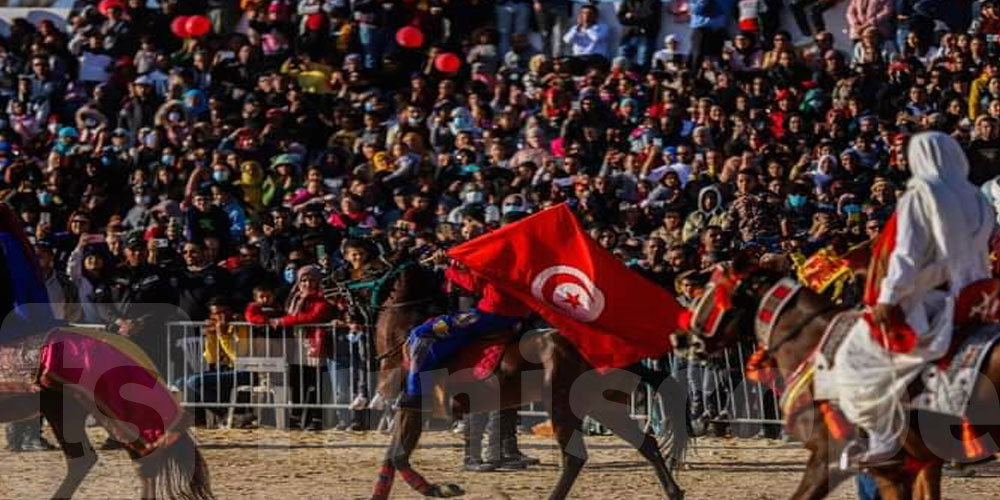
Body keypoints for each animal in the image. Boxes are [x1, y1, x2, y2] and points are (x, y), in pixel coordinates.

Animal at [366, 260, 688, 498]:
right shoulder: (406, 410)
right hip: (604, 406)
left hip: (563, 406)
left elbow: (398, 457)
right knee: (646, 444)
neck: (405, 335)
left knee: (575, 458)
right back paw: (674, 491)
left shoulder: (414, 406)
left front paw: (442, 489)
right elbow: (391, 456)